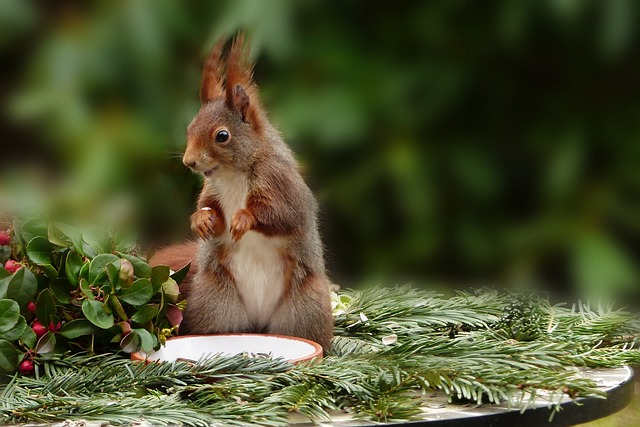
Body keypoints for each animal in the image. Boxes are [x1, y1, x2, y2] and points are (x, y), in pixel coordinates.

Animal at [153, 34, 336, 354]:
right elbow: (208, 209)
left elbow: (283, 216)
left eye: (222, 136)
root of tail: (258, 322)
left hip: (304, 309)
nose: (189, 162)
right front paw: (201, 221)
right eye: (189, 128)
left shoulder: (281, 184)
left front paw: (243, 219)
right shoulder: (211, 191)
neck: (232, 174)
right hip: (215, 301)